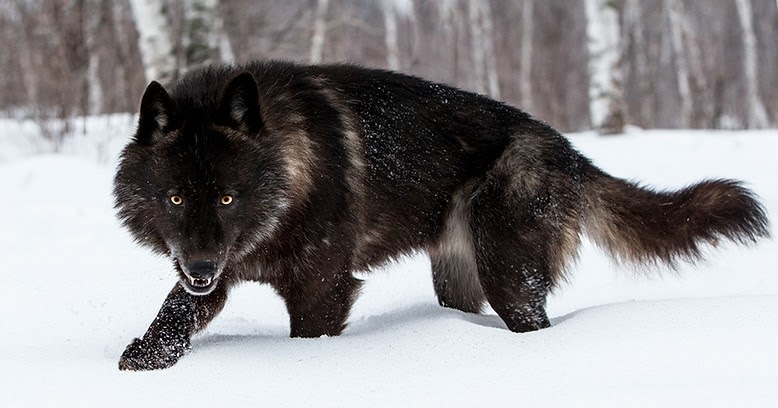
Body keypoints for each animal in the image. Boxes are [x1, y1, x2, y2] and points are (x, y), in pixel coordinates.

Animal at [114, 60, 769, 370]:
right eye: (176, 199)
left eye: (228, 198)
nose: (201, 268)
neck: (291, 168)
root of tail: (567, 150)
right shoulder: (212, 272)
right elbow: (173, 315)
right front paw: (142, 361)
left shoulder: (322, 290)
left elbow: (308, 338)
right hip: (458, 280)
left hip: (509, 279)